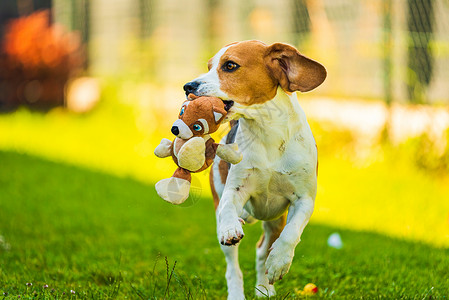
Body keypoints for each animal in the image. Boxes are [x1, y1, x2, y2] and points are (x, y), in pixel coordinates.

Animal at [182, 40, 326, 300]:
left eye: (230, 65)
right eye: (208, 66)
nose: (188, 86)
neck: (266, 130)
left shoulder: (304, 199)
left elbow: (291, 233)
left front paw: (279, 262)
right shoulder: (235, 190)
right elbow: (229, 206)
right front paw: (231, 226)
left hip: (274, 221)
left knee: (262, 250)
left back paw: (264, 287)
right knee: (233, 266)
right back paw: (237, 292)